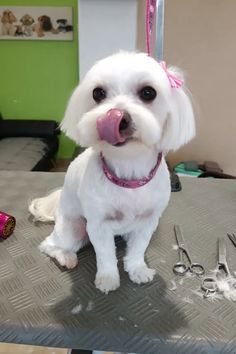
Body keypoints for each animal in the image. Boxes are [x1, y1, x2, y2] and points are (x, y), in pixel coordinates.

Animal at [29, 50, 195, 294]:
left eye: (148, 92)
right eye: (98, 93)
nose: (117, 116)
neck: (129, 170)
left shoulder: (147, 221)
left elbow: (138, 249)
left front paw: (137, 270)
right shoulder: (98, 224)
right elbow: (105, 255)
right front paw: (108, 279)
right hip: (74, 228)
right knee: (50, 245)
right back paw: (66, 257)